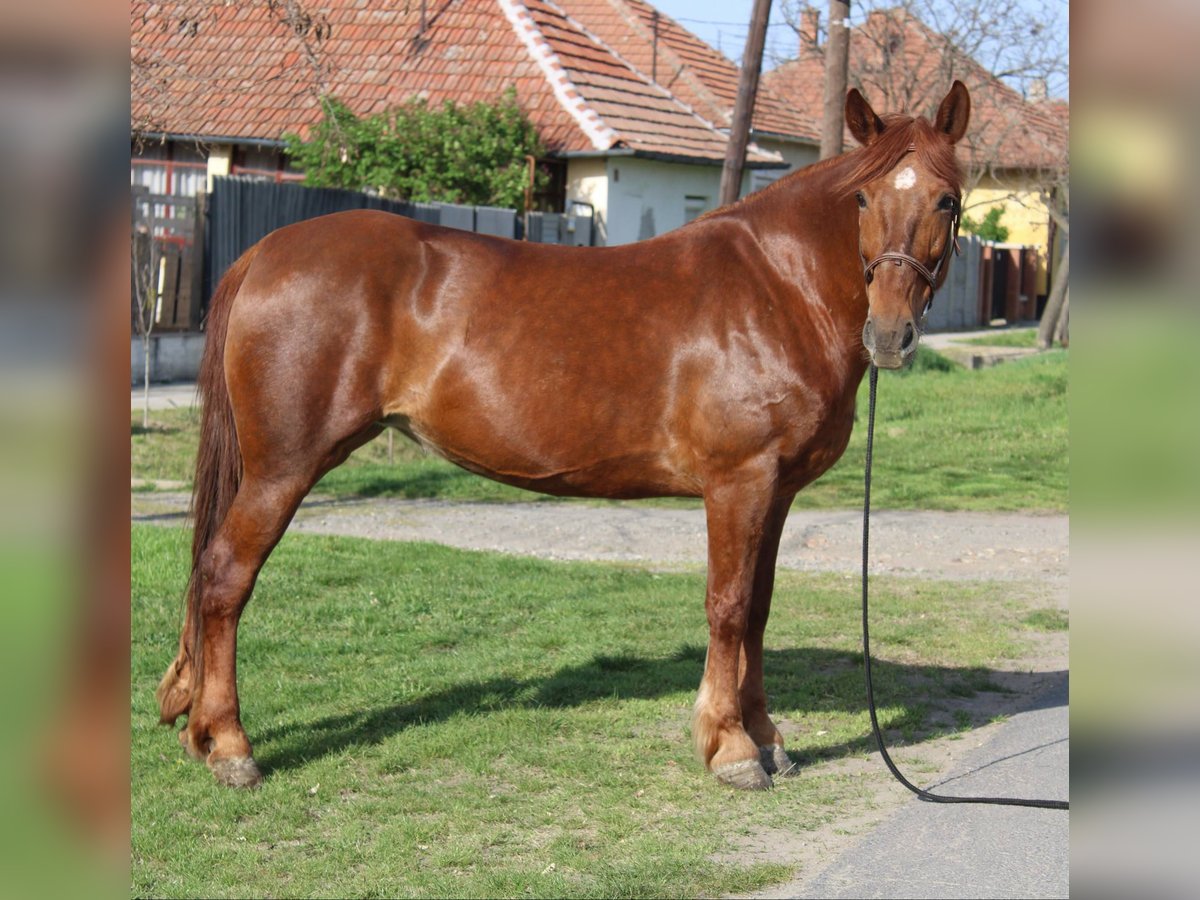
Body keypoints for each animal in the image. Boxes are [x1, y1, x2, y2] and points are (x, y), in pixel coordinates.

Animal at [157, 82, 970, 791]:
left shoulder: (776, 492)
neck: (778, 287)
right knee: (223, 580)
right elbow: (729, 606)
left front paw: (767, 738)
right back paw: (231, 746)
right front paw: (732, 749)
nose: (890, 334)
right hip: (282, 469)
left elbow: (761, 609)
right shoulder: (739, 483)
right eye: (862, 197)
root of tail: (264, 254)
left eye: (947, 199)